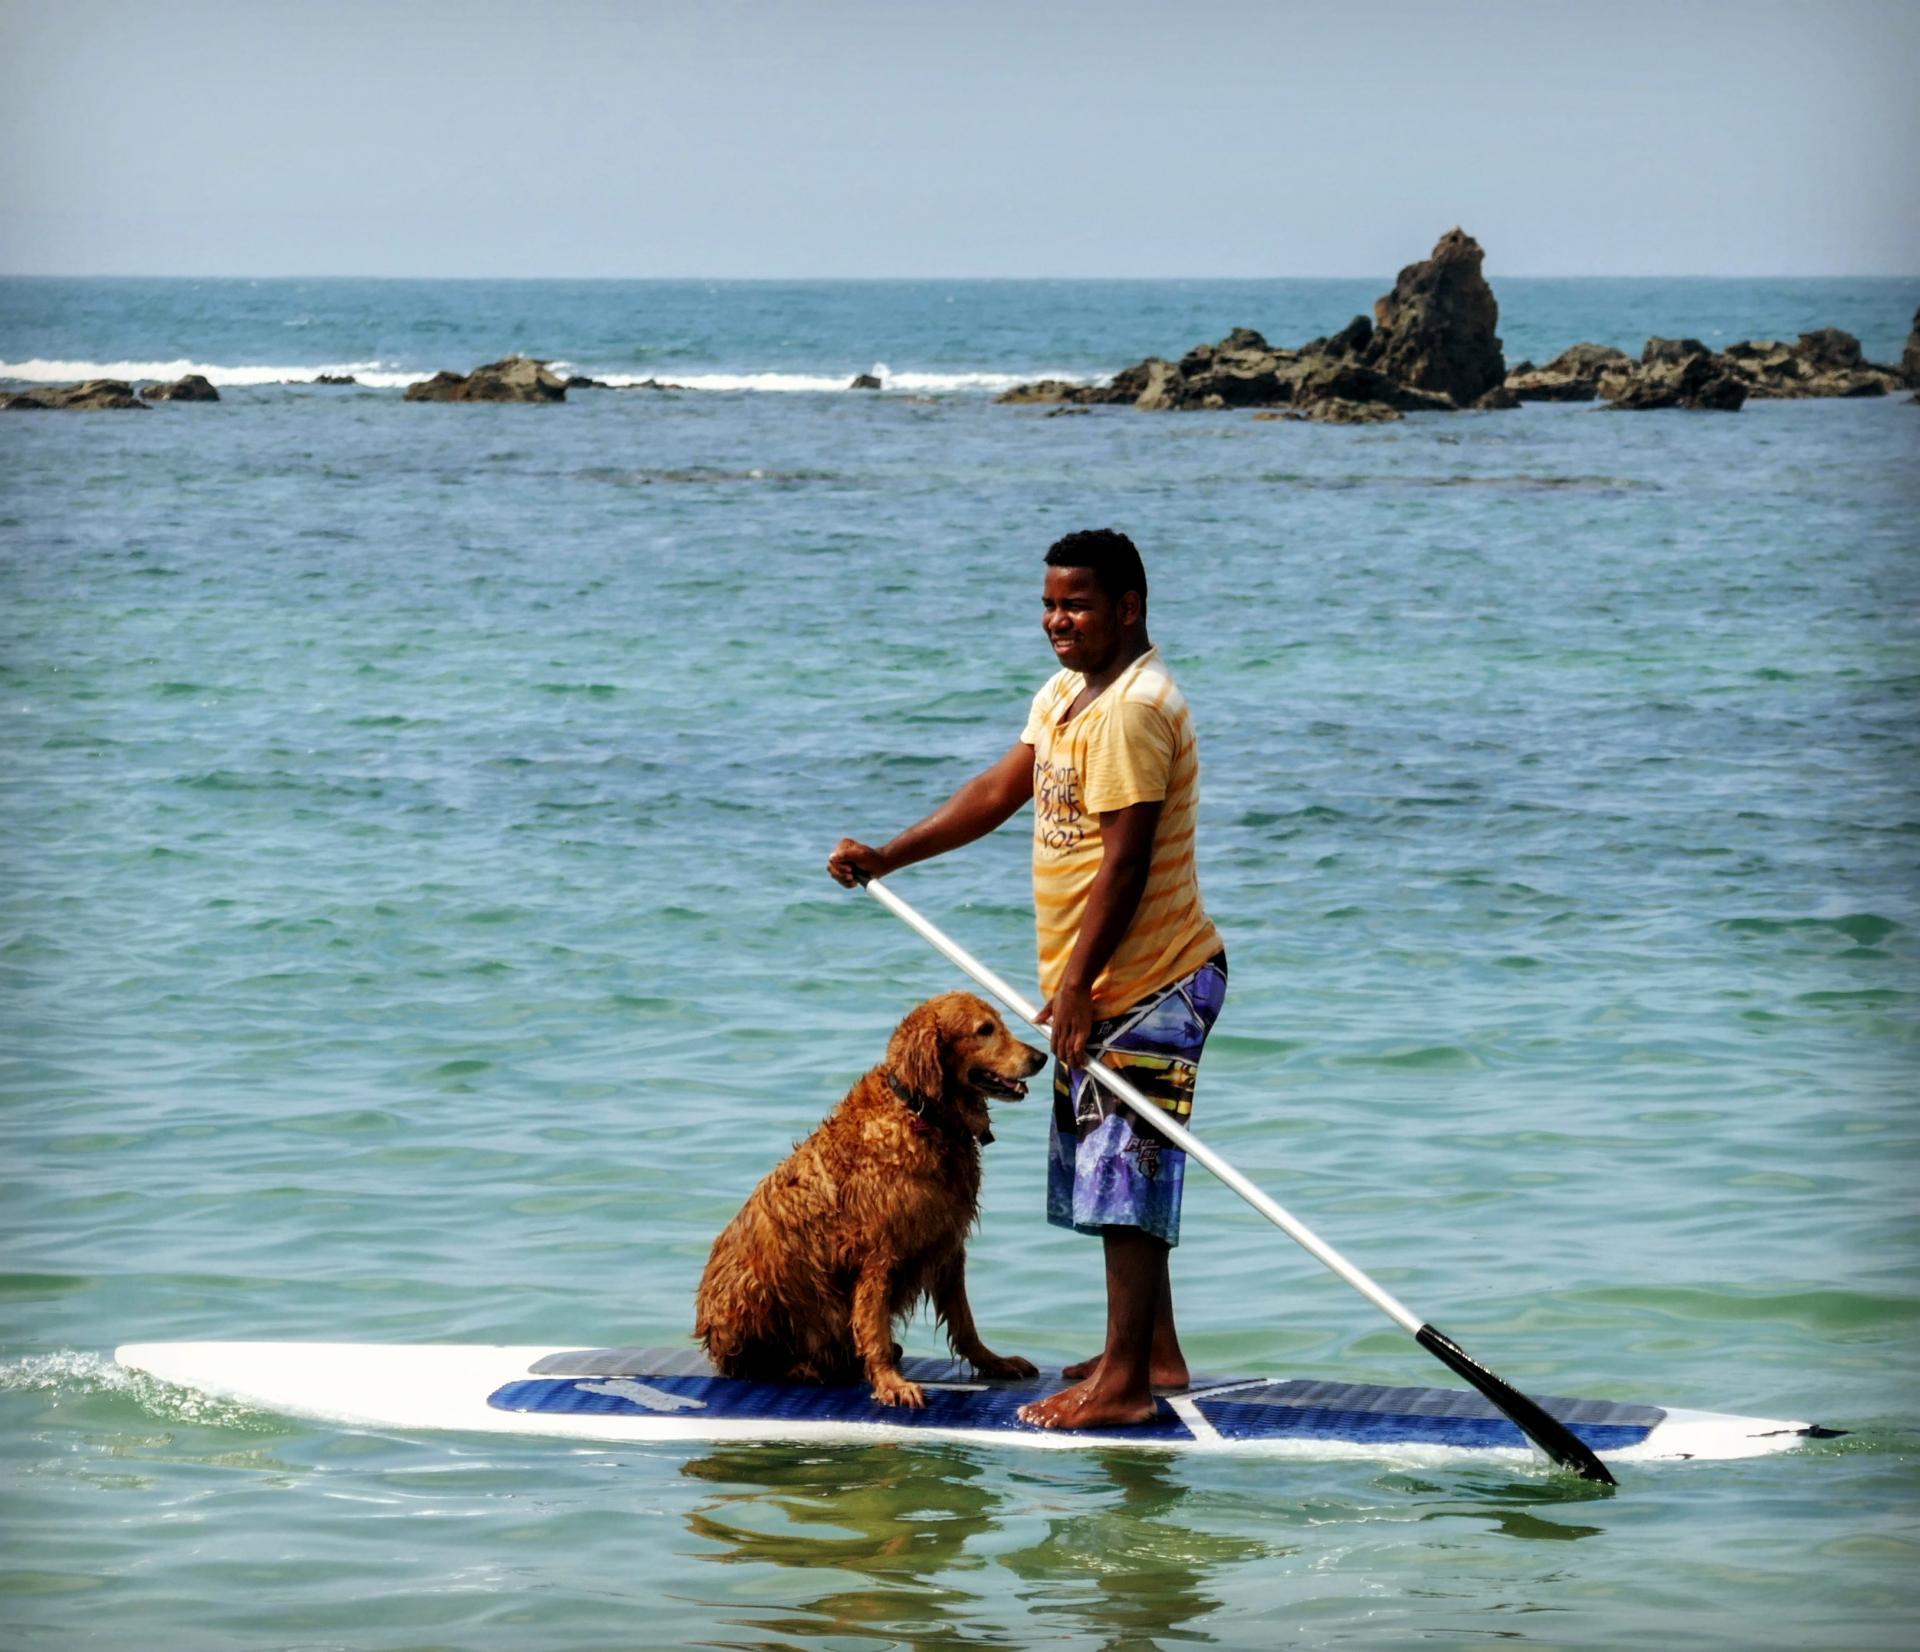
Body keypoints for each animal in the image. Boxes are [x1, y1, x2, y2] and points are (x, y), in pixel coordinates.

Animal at [695, 991, 1044, 1406]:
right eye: (985, 1030)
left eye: (999, 1023)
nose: (1041, 1057)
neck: (922, 1114)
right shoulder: (878, 1253)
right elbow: (873, 1326)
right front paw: (891, 1382)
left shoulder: (947, 1244)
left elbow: (964, 1321)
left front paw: (993, 1361)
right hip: (753, 1286)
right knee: (751, 1363)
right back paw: (805, 1367)